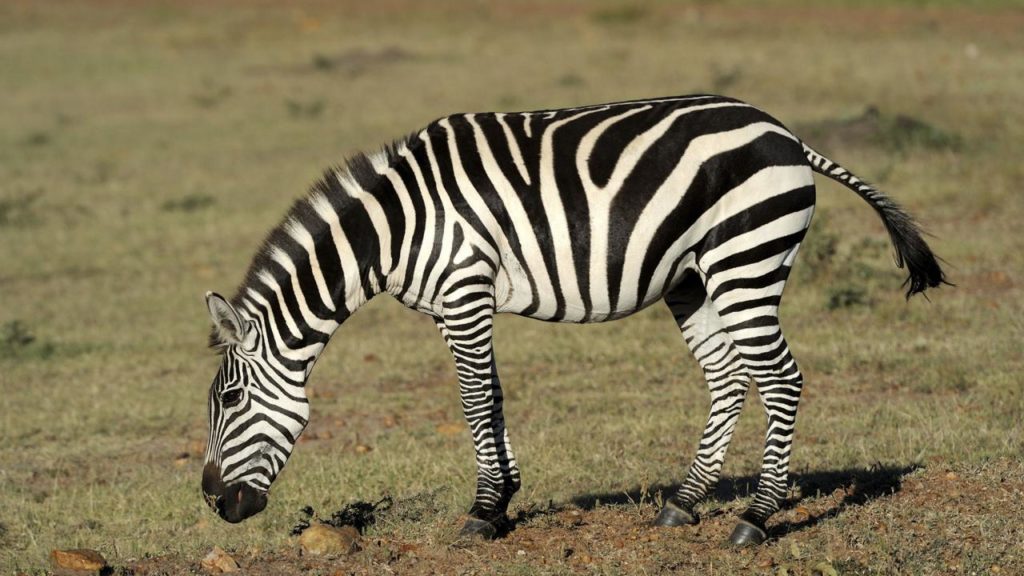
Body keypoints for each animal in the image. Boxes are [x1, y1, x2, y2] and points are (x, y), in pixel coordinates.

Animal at [200, 94, 945, 546]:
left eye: (229, 402)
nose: (211, 503)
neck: (397, 226)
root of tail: (786, 134)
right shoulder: (453, 303)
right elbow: (493, 396)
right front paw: (503, 501)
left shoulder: (464, 289)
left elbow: (475, 400)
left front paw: (482, 512)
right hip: (693, 278)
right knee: (730, 379)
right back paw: (683, 502)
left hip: (746, 259)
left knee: (782, 379)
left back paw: (756, 518)